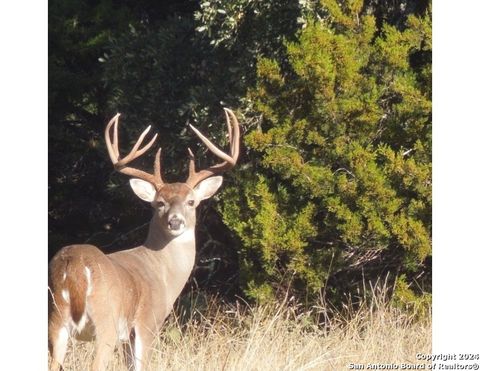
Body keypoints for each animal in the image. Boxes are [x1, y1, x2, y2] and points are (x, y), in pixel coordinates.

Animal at [48, 109, 240, 370]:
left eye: (191, 201)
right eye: (159, 203)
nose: (175, 222)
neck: (163, 273)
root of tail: (75, 265)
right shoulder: (147, 323)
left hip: (55, 319)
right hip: (105, 321)